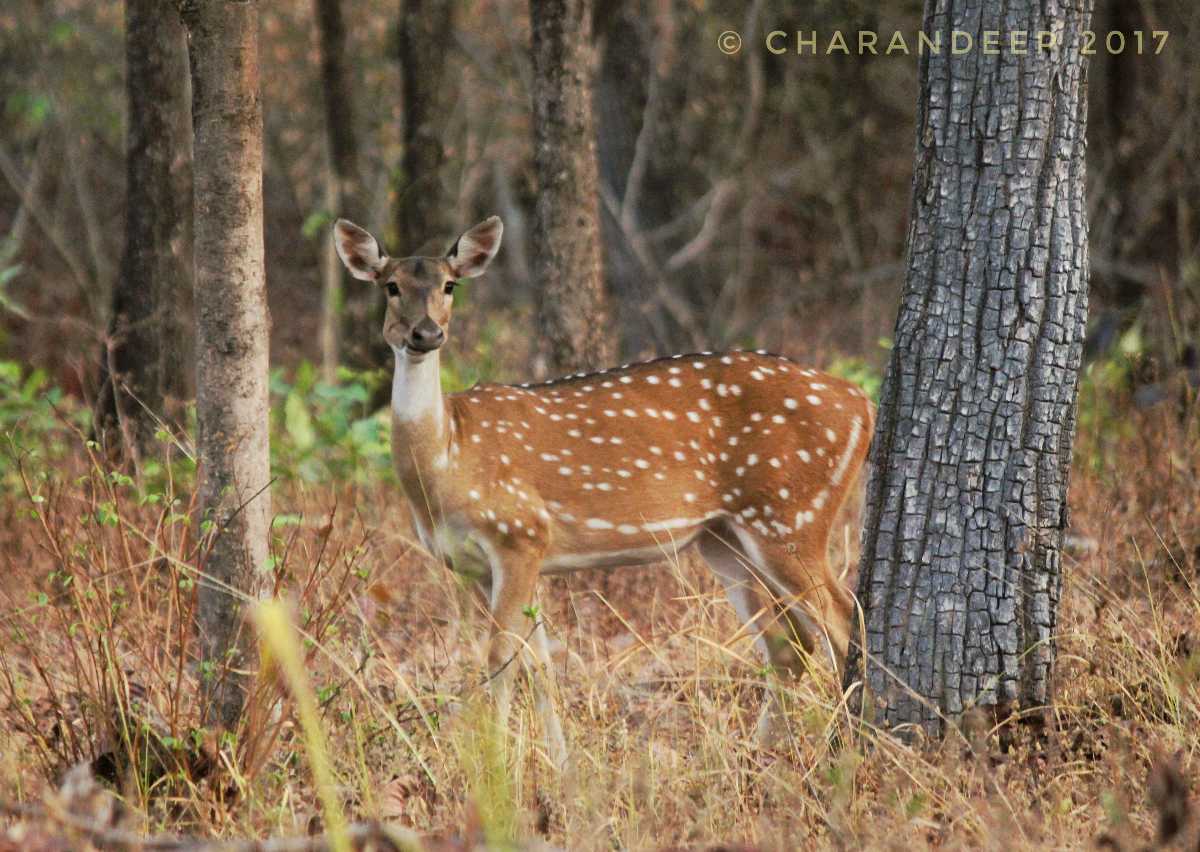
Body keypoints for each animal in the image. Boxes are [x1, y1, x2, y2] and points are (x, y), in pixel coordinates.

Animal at [333, 213, 878, 768]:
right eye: (391, 285)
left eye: (450, 285)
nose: (426, 333)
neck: (448, 460)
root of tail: (863, 405)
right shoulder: (485, 564)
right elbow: (540, 662)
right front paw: (560, 765)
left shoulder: (520, 533)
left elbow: (501, 656)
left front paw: (498, 767)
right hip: (724, 537)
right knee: (789, 644)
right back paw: (757, 757)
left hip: (790, 512)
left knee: (842, 621)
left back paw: (855, 751)